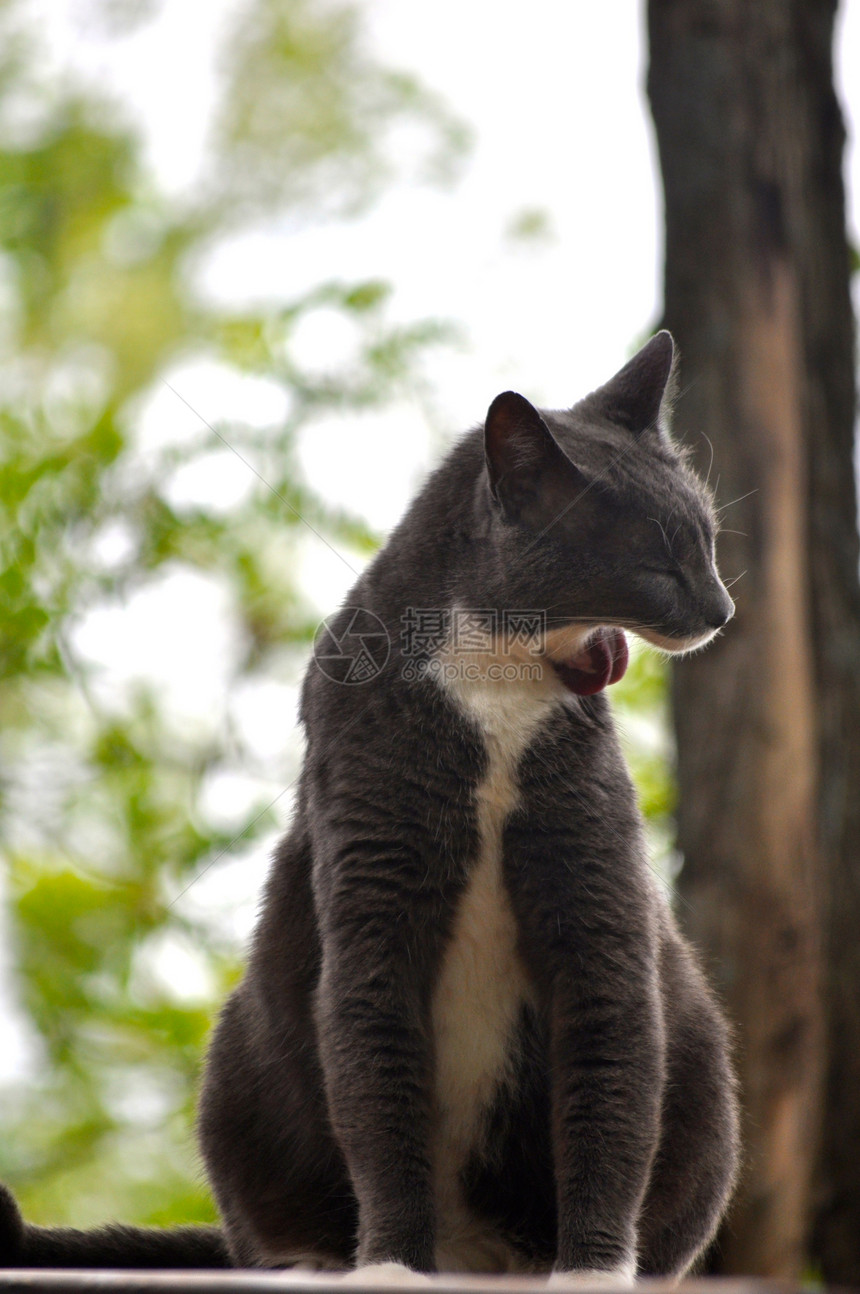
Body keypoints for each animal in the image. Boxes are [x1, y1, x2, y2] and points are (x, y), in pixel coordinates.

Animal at [0, 328, 739, 1278]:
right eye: (655, 561)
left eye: (708, 543)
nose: (722, 607)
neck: (498, 685)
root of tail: (471, 1254)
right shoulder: (370, 866)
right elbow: (375, 1065)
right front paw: (389, 1264)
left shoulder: (594, 880)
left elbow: (611, 1061)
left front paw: (592, 1273)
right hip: (242, 1047)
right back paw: (321, 1260)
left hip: (703, 1057)